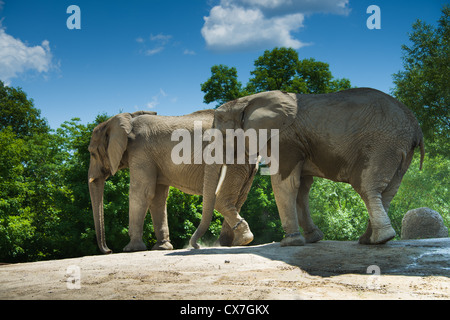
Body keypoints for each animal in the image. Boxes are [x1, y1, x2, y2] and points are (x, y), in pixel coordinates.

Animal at [88, 109, 256, 254]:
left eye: (91, 152)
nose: (109, 250)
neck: (128, 119)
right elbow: (158, 198)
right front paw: (162, 248)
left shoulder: (141, 152)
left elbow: (142, 193)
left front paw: (131, 249)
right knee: (238, 199)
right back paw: (231, 243)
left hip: (234, 161)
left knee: (224, 199)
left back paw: (237, 242)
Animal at [191, 89, 426, 249]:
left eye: (221, 133)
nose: (196, 246)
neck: (247, 100)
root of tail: (416, 127)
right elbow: (301, 188)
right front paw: (313, 239)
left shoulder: (284, 139)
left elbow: (284, 182)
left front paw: (289, 242)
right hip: (399, 150)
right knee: (389, 191)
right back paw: (370, 240)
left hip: (382, 144)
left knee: (367, 186)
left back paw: (379, 239)